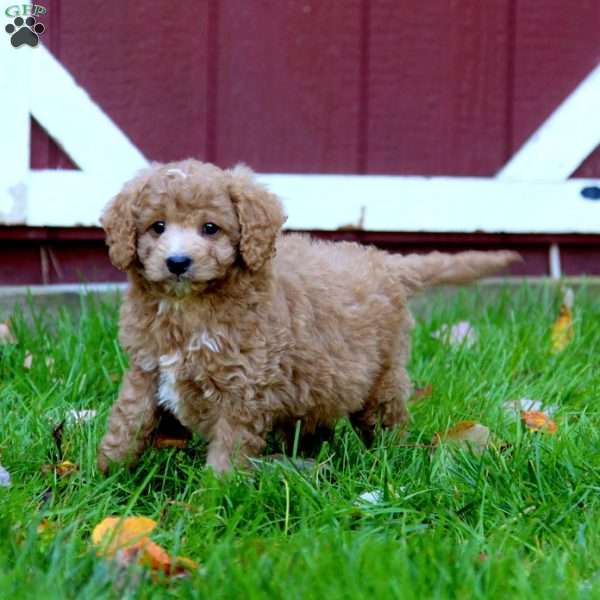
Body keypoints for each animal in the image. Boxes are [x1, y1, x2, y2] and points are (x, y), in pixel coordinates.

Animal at [98, 159, 520, 474]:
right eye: (157, 227)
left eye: (210, 229)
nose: (177, 262)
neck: (188, 308)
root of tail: (384, 261)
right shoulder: (145, 369)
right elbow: (127, 421)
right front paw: (107, 474)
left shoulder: (243, 389)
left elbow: (228, 450)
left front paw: (214, 500)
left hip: (381, 378)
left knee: (388, 420)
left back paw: (393, 460)